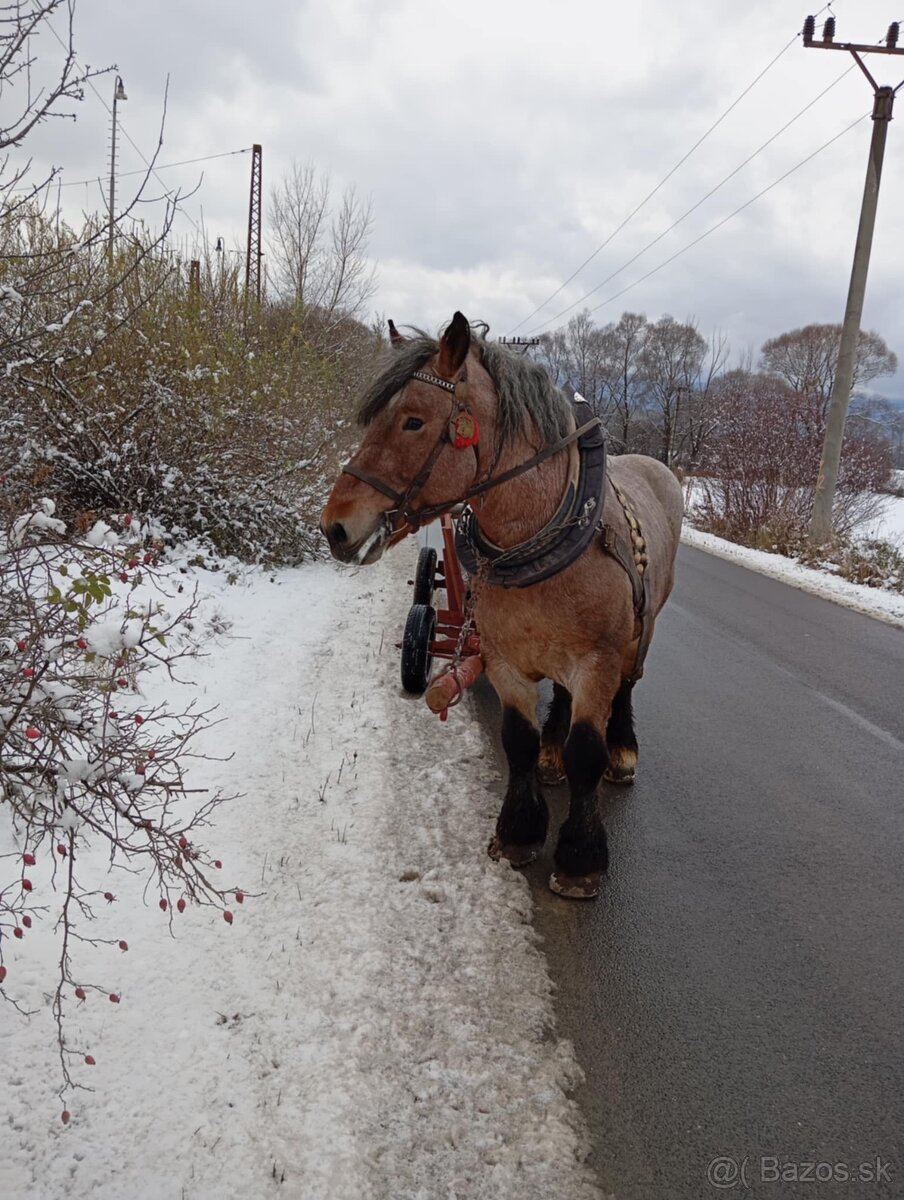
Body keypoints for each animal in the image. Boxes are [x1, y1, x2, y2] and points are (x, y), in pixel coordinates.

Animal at [321, 314, 681, 897]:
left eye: (413, 421)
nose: (334, 526)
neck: (543, 531)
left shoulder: (596, 663)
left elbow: (587, 752)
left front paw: (579, 859)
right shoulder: (505, 659)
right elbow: (518, 742)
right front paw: (518, 832)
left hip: (642, 629)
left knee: (630, 683)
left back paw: (623, 749)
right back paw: (552, 753)